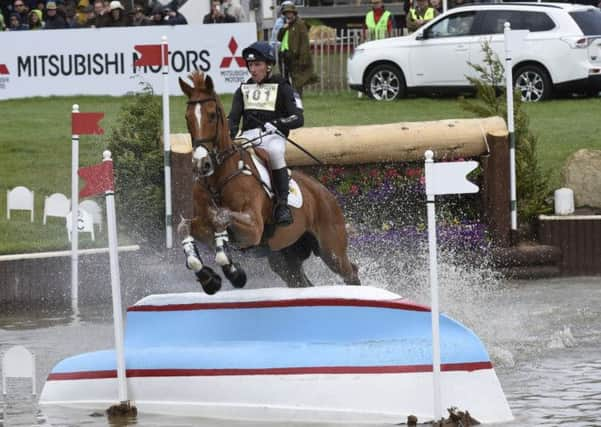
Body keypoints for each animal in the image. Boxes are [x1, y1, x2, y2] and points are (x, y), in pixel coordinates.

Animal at [176, 72, 358, 296]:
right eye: (187, 118)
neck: (219, 178)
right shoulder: (202, 224)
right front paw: (209, 279)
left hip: (331, 249)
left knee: (350, 272)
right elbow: (185, 228)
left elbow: (221, 218)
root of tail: (326, 193)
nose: (201, 164)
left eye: (212, 115)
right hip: (284, 256)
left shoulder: (253, 228)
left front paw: (234, 274)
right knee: (300, 281)